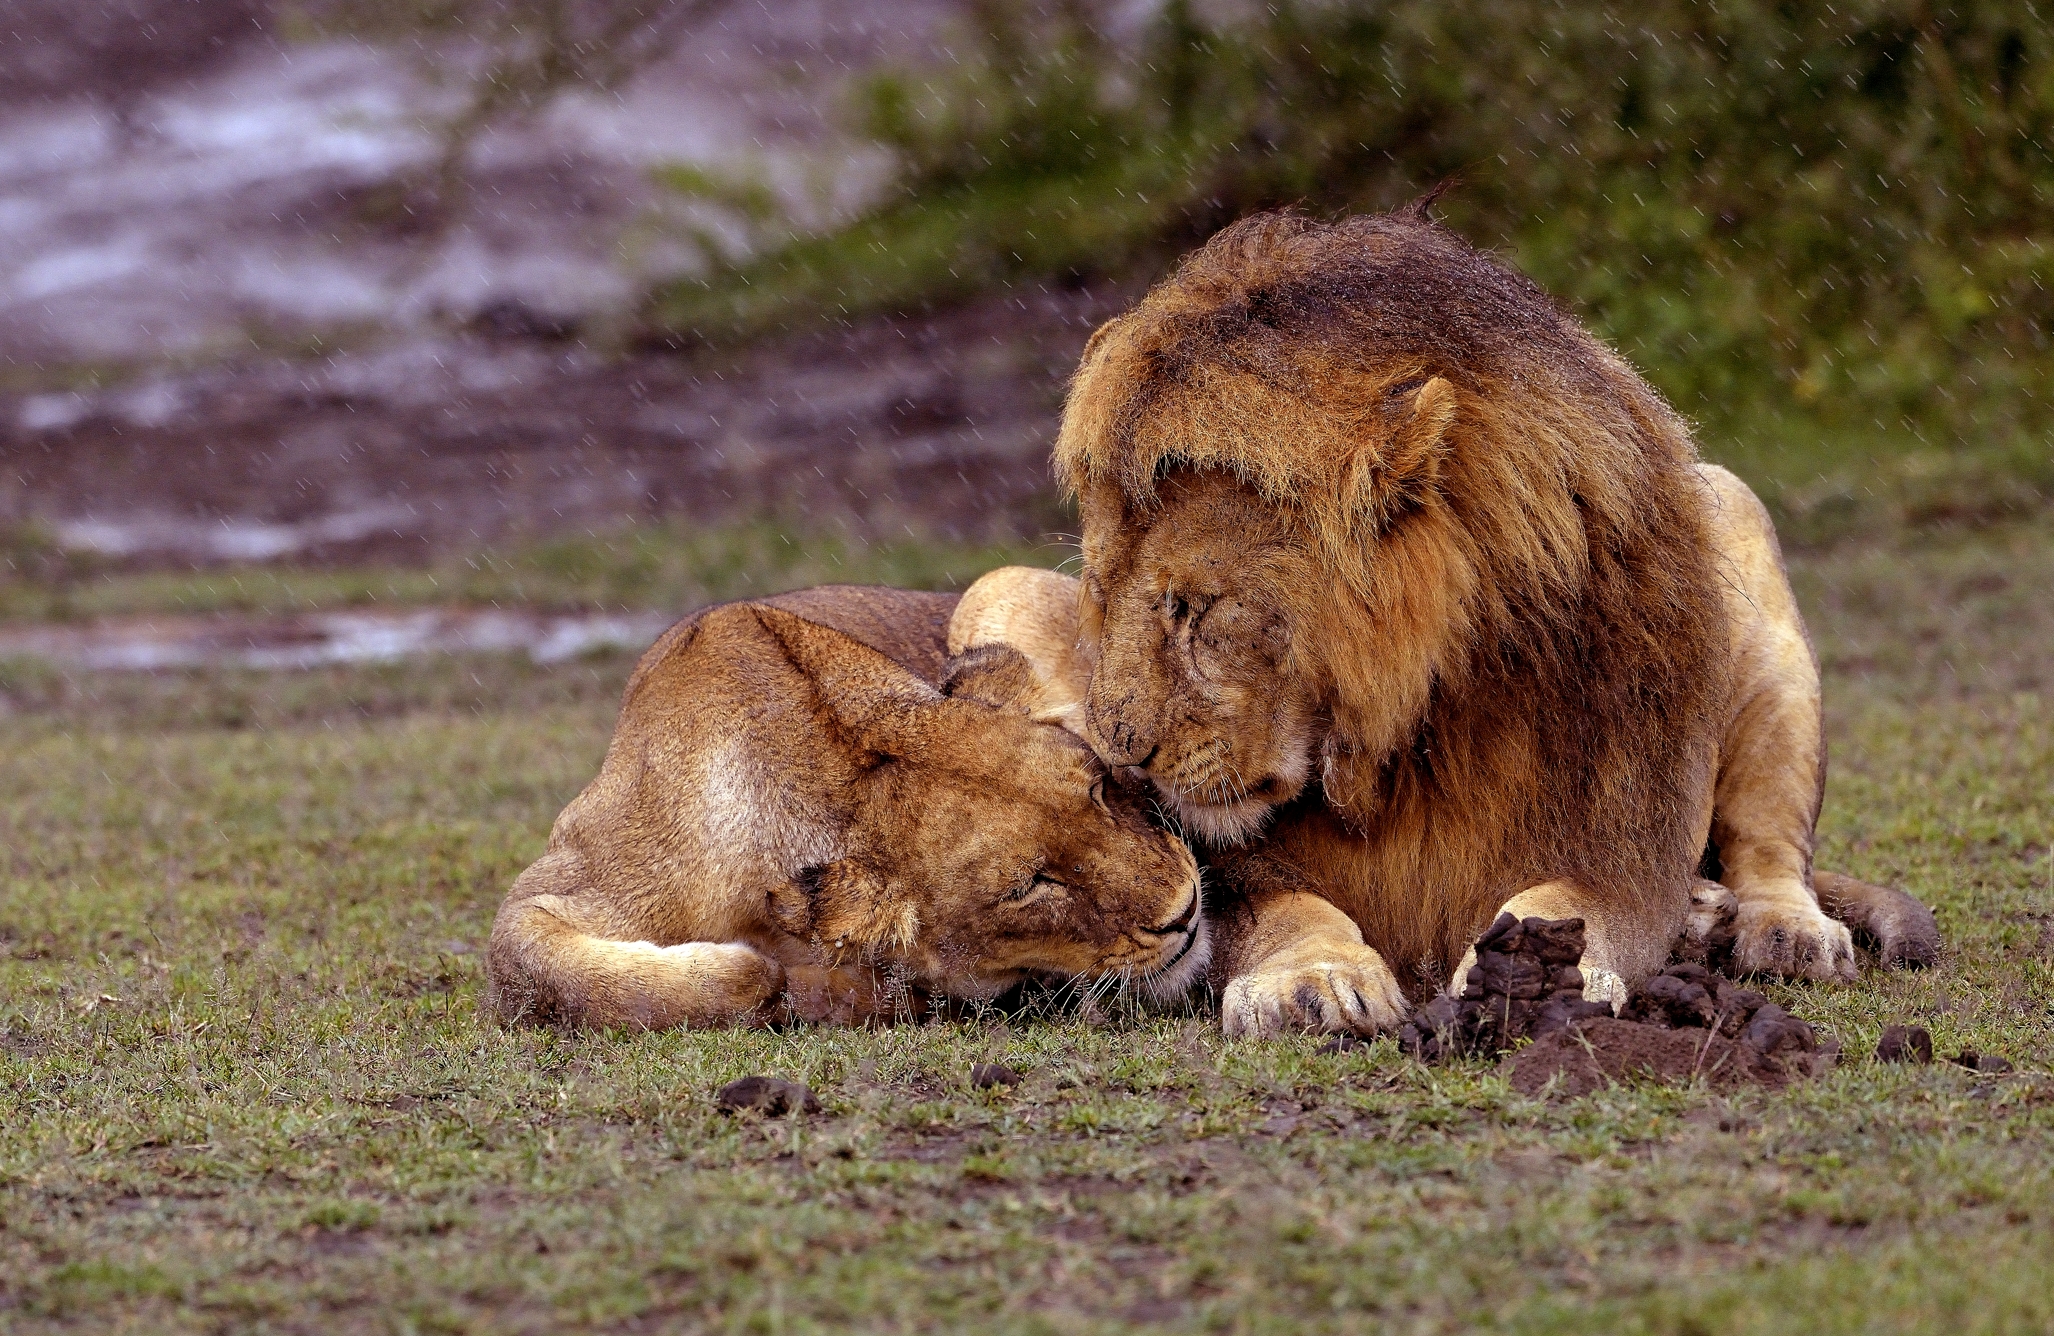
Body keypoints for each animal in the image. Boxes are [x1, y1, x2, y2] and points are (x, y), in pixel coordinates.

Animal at [955, 208, 1935, 1037]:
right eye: (1103, 591)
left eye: (1200, 607)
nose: (1123, 756)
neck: (1413, 737)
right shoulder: (1214, 871)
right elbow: (1285, 910)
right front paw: (1314, 979)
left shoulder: (1625, 837)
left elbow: (1567, 902)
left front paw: (1530, 979)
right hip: (1000, 589)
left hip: (1745, 543)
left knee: (1770, 846)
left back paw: (1780, 931)